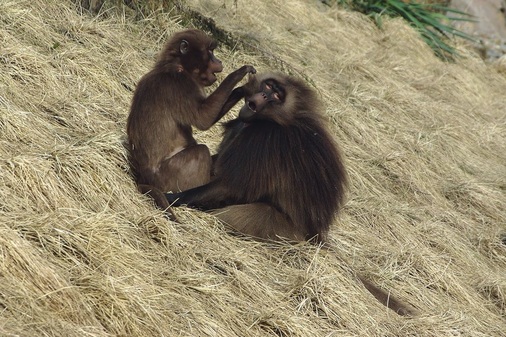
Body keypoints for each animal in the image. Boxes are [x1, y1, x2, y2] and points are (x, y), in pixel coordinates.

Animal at [127, 28, 256, 203]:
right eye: (210, 52)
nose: (219, 61)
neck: (178, 65)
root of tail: (142, 177)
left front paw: (244, 89)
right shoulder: (180, 83)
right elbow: (203, 119)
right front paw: (239, 75)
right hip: (169, 177)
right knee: (201, 152)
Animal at [166, 73, 416, 316]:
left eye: (276, 95)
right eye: (268, 86)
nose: (262, 96)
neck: (279, 119)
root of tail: (316, 236)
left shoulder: (264, 140)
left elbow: (230, 187)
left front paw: (168, 199)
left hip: (285, 232)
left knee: (256, 212)